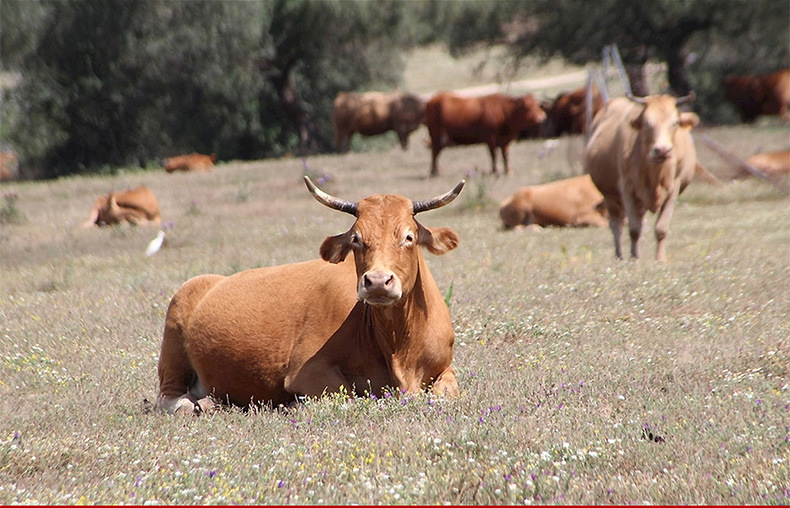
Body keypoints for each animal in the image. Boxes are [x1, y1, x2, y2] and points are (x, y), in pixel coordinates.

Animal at [155, 175, 468, 412]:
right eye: (356, 239)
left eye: (408, 237)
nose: (378, 281)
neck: (399, 347)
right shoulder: (306, 371)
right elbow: (346, 395)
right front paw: (295, 404)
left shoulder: (446, 367)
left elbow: (448, 393)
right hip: (174, 337)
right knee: (169, 398)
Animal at [588, 93, 700, 264]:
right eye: (646, 123)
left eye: (675, 122)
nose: (662, 150)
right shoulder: (626, 189)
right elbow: (634, 229)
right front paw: (634, 258)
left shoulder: (674, 188)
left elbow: (661, 228)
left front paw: (660, 259)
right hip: (611, 197)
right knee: (616, 226)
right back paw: (619, 255)